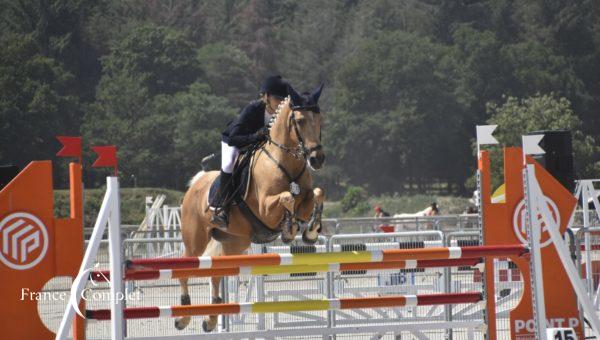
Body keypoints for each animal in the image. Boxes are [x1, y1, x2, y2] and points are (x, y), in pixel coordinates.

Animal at [176, 84, 326, 332]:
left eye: (320, 119)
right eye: (300, 120)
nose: (317, 159)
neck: (284, 160)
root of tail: (195, 183)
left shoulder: (305, 197)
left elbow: (315, 194)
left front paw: (311, 231)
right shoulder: (265, 208)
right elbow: (287, 198)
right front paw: (289, 229)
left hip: (235, 242)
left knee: (217, 273)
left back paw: (210, 319)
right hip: (195, 240)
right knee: (185, 269)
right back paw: (183, 317)